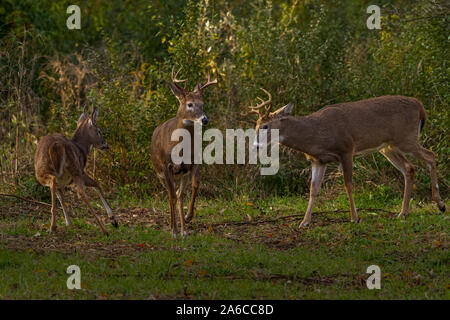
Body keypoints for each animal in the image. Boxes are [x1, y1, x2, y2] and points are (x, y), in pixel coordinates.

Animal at [151, 67, 218, 238]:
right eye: (189, 104)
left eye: (203, 104)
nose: (205, 120)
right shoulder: (166, 166)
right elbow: (172, 196)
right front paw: (173, 231)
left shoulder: (193, 163)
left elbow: (195, 185)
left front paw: (188, 217)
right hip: (159, 174)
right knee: (171, 194)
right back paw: (173, 227)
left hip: (181, 174)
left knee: (179, 194)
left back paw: (184, 230)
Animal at [246, 91, 446, 228]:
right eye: (256, 125)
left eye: (265, 126)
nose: (255, 146)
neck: (317, 134)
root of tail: (420, 106)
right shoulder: (319, 160)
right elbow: (313, 189)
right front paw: (304, 222)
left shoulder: (347, 149)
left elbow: (348, 184)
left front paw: (354, 217)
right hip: (388, 147)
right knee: (409, 168)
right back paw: (403, 213)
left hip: (406, 139)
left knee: (431, 156)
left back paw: (440, 204)